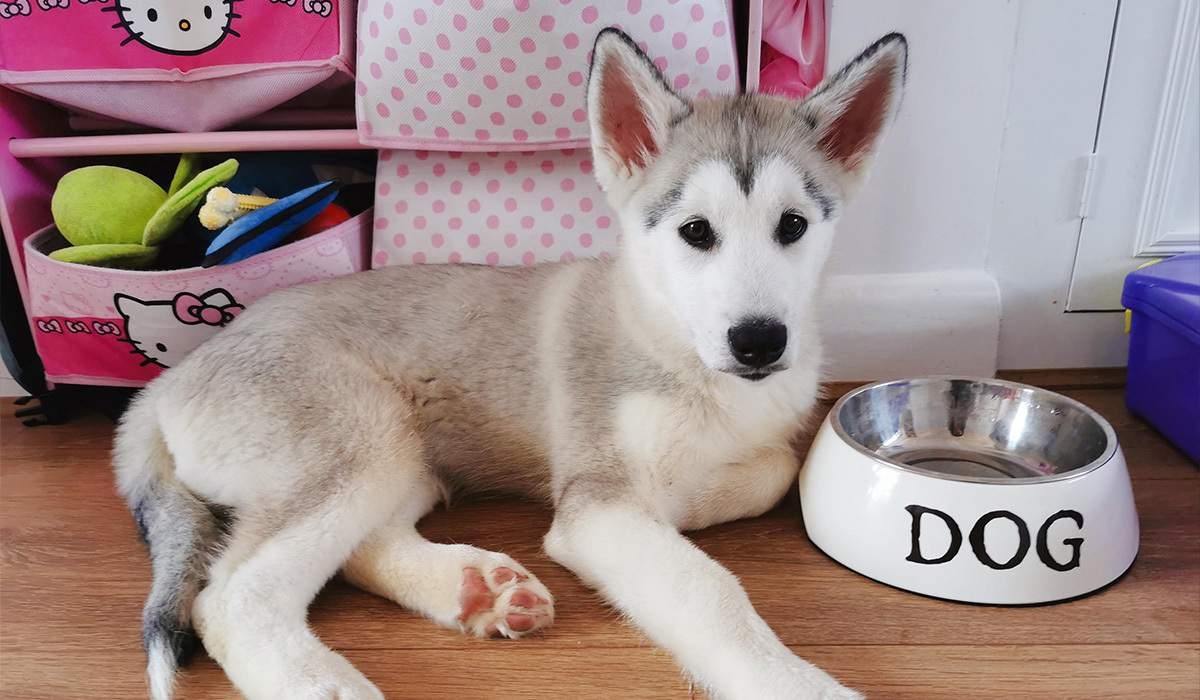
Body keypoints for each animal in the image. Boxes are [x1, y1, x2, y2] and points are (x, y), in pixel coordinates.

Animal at [117, 27, 907, 700]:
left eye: (793, 226)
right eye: (696, 232)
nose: (759, 342)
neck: (674, 343)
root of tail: (165, 383)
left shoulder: (733, 453)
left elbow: (773, 471)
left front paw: (697, 495)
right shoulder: (598, 505)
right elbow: (708, 589)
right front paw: (796, 684)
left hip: (405, 455)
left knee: (355, 544)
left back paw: (474, 588)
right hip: (357, 437)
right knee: (232, 598)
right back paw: (326, 682)